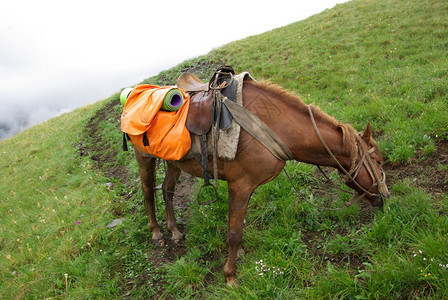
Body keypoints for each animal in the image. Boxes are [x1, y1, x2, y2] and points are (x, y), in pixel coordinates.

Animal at [132, 79, 388, 284]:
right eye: (378, 160)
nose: (384, 197)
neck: (276, 127)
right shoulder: (240, 184)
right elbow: (234, 233)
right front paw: (230, 277)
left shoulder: (246, 187)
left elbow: (237, 226)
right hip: (144, 158)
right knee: (148, 192)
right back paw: (156, 233)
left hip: (174, 163)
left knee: (167, 190)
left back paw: (174, 231)